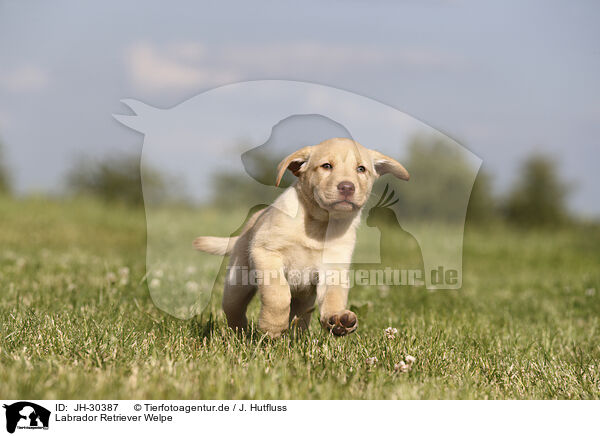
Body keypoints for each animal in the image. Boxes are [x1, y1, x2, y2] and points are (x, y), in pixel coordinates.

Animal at [195, 138, 410, 338]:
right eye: (326, 166)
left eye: (361, 169)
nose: (347, 187)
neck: (319, 225)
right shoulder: (267, 252)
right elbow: (278, 293)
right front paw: (272, 327)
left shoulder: (334, 267)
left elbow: (334, 295)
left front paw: (338, 319)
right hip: (237, 284)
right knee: (235, 311)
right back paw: (241, 334)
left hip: (304, 300)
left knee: (299, 319)